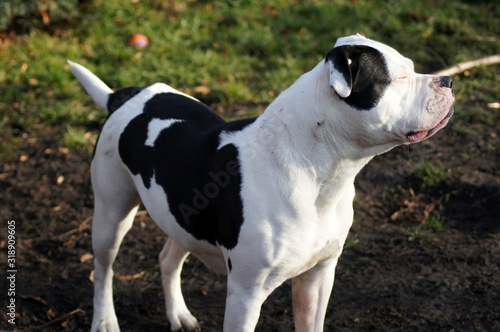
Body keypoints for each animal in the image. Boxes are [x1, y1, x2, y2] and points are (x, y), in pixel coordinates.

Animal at [68, 34, 456, 332]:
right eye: (399, 78)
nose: (449, 81)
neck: (319, 174)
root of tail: (126, 96)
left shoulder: (318, 277)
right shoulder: (245, 294)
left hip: (182, 216)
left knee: (167, 258)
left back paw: (178, 315)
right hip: (111, 214)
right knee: (103, 269)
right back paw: (104, 321)